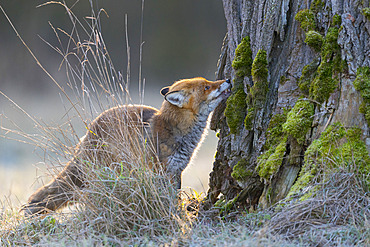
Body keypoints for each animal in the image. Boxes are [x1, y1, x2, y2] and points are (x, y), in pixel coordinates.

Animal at [21, 77, 231, 216]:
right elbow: (167, 199)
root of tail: (88, 134)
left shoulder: (176, 171)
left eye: (209, 82)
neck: (176, 130)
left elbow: (176, 197)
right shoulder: (158, 171)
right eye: (207, 86)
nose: (228, 79)